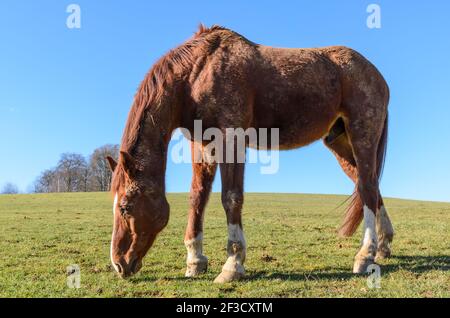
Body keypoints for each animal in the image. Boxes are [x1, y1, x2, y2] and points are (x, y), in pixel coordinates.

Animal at [106, 25, 394, 284]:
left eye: (125, 207)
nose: (118, 264)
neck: (197, 73)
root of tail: (377, 75)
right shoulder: (202, 145)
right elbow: (197, 198)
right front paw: (195, 262)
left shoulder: (231, 140)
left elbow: (231, 198)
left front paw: (232, 264)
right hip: (339, 144)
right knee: (369, 185)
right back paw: (383, 245)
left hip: (362, 136)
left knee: (367, 189)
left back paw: (365, 255)